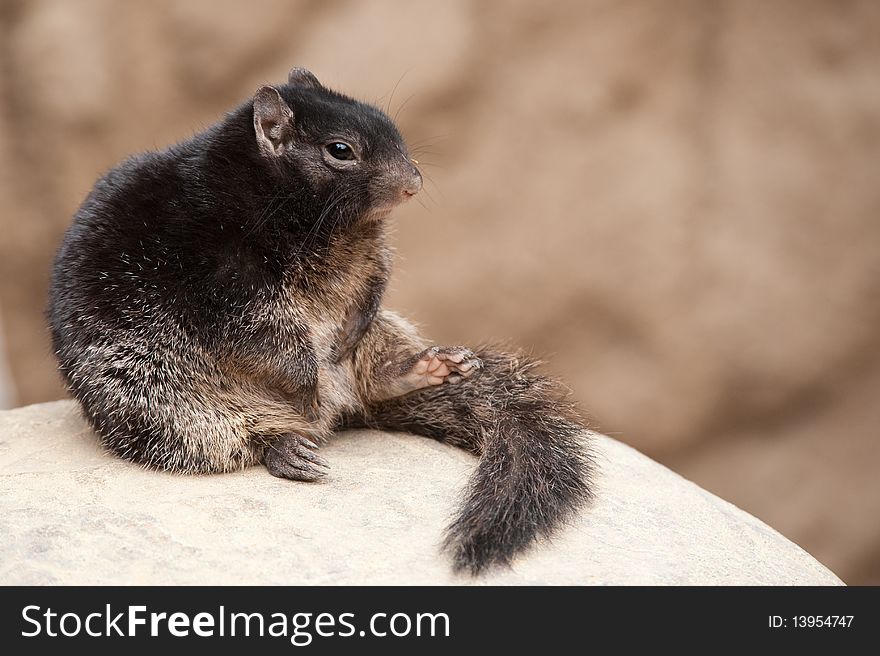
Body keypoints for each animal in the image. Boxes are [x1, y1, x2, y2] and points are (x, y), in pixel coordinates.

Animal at [49, 68, 600, 576]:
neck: (328, 229)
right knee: (225, 438)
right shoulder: (222, 274)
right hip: (148, 393)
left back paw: (425, 367)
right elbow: (262, 332)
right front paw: (307, 381)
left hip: (387, 331)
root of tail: (340, 413)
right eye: (341, 150)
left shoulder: (370, 252)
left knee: (372, 375)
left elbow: (375, 280)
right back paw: (289, 441)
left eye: (393, 130)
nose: (414, 182)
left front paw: (349, 340)